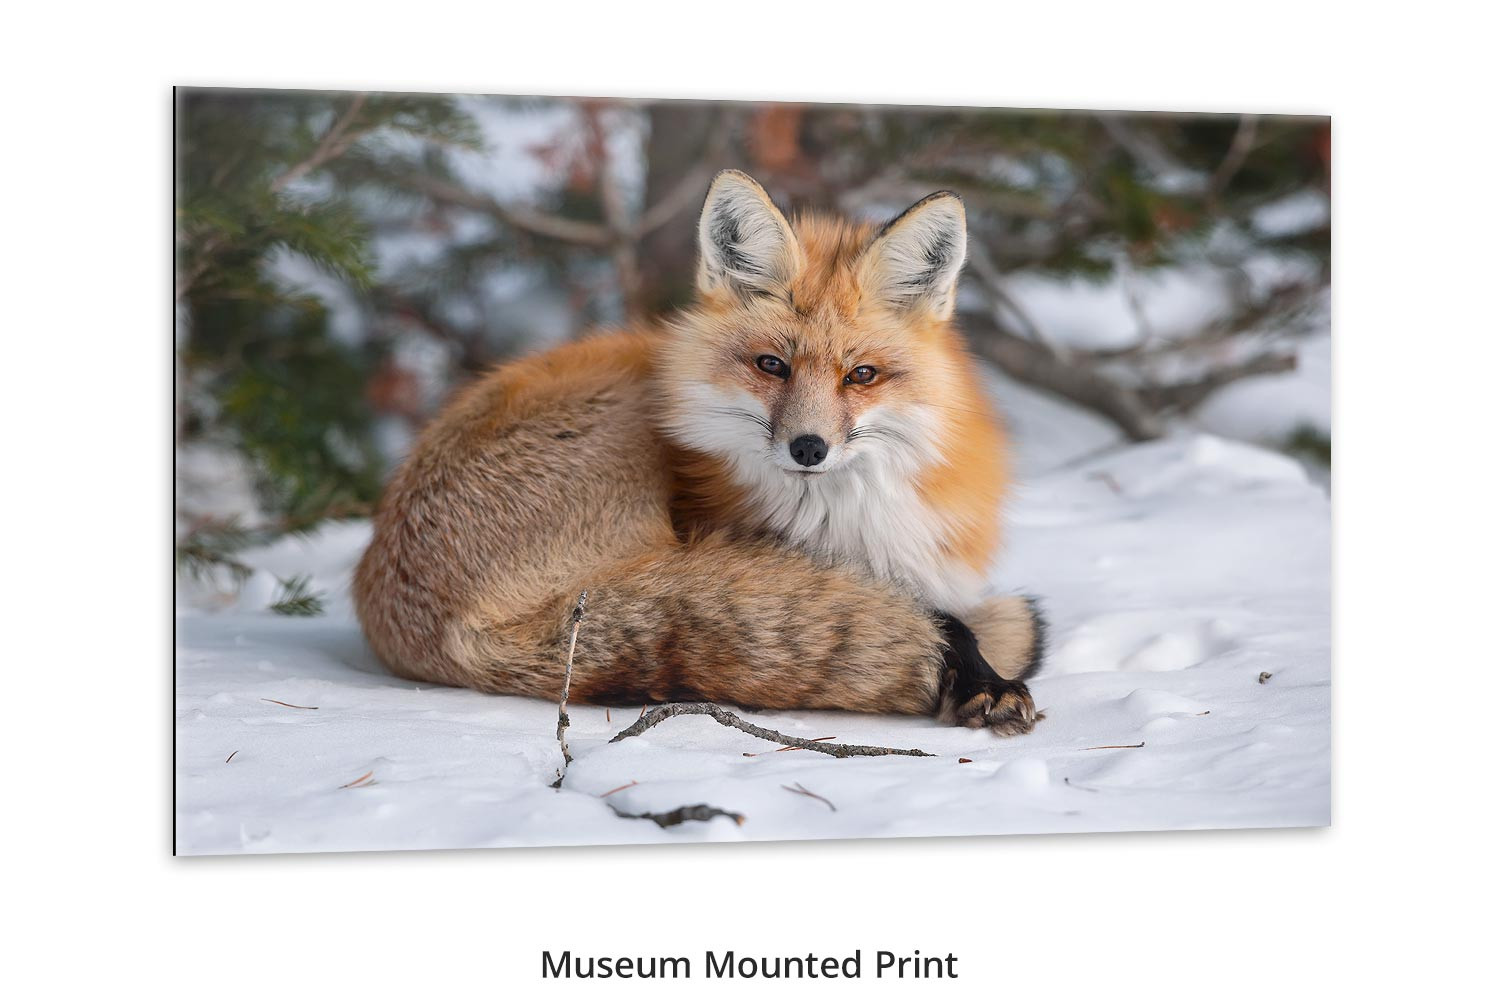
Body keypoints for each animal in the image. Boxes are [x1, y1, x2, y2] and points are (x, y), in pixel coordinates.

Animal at [353, 169, 1046, 735]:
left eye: (862, 376)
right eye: (772, 365)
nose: (808, 448)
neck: (844, 521)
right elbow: (942, 617)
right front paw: (982, 675)